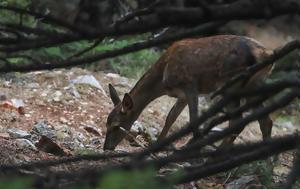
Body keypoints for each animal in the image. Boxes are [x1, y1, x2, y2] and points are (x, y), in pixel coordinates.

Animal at [103, 34, 274, 151]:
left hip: (231, 84)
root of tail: (266, 54)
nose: (106, 147)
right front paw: (157, 146)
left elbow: (193, 121)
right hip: (253, 85)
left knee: (238, 121)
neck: (162, 79)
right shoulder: (182, 95)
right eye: (106, 123)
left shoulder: (190, 85)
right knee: (265, 121)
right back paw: (266, 166)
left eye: (116, 126)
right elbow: (170, 117)